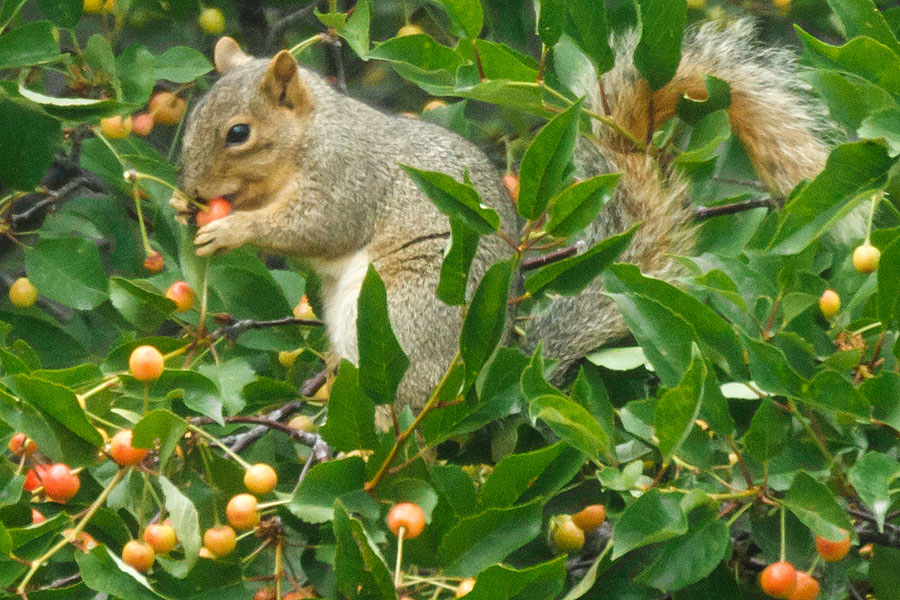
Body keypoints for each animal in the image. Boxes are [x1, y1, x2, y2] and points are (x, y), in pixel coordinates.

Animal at [172, 19, 840, 412]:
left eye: (238, 133)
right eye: (197, 112)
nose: (193, 187)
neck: (308, 138)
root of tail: (472, 378)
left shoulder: (349, 177)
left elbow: (318, 225)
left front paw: (230, 228)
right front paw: (188, 206)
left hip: (402, 313)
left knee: (398, 405)